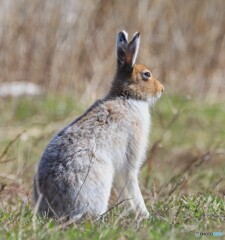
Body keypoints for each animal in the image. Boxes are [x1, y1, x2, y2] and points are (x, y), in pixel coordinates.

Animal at [33, 31, 163, 222]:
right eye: (147, 74)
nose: (162, 89)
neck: (128, 96)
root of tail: (52, 210)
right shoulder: (131, 154)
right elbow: (131, 182)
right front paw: (146, 215)